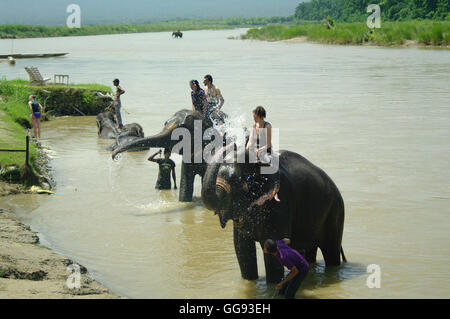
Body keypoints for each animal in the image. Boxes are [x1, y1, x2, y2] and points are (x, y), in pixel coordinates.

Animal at [202, 149, 346, 282]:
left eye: (237, 181)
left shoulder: (281, 200)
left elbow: (271, 244)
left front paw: (272, 285)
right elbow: (242, 246)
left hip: (335, 211)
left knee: (331, 251)